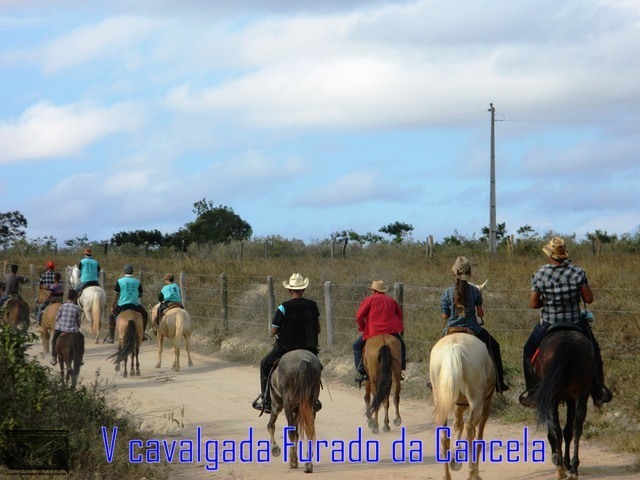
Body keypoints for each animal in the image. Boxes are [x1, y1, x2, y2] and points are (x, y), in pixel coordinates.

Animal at [430, 332, 496, 480]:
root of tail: (454, 347)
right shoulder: (486, 405)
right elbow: (479, 436)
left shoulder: (457, 406)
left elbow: (457, 426)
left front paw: (456, 458)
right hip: (477, 400)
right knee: (470, 428)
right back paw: (473, 473)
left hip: (441, 400)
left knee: (444, 434)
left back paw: (446, 475)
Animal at [532, 328, 592, 478]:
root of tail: (567, 342)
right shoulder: (571, 399)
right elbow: (569, 431)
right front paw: (567, 463)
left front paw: (559, 460)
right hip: (581, 395)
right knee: (577, 428)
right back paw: (574, 468)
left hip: (553, 398)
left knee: (557, 429)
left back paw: (560, 467)